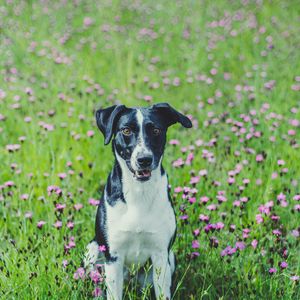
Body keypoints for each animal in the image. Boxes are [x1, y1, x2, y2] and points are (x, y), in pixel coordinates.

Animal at [84, 102, 192, 298]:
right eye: (126, 130)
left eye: (156, 130)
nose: (144, 159)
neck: (139, 192)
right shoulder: (113, 257)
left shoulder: (160, 255)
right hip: (93, 249)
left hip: (169, 258)